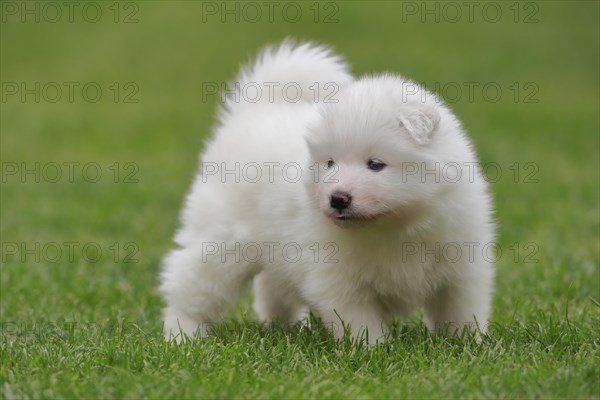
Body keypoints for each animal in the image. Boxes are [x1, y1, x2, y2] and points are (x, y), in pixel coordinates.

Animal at [158, 40, 492, 344]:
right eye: (330, 163)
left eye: (375, 164)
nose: (338, 198)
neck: (395, 226)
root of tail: (256, 110)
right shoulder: (338, 278)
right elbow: (361, 322)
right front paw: (374, 351)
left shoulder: (463, 267)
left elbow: (460, 311)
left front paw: (465, 344)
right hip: (222, 243)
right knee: (190, 287)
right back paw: (182, 336)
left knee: (271, 287)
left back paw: (283, 326)